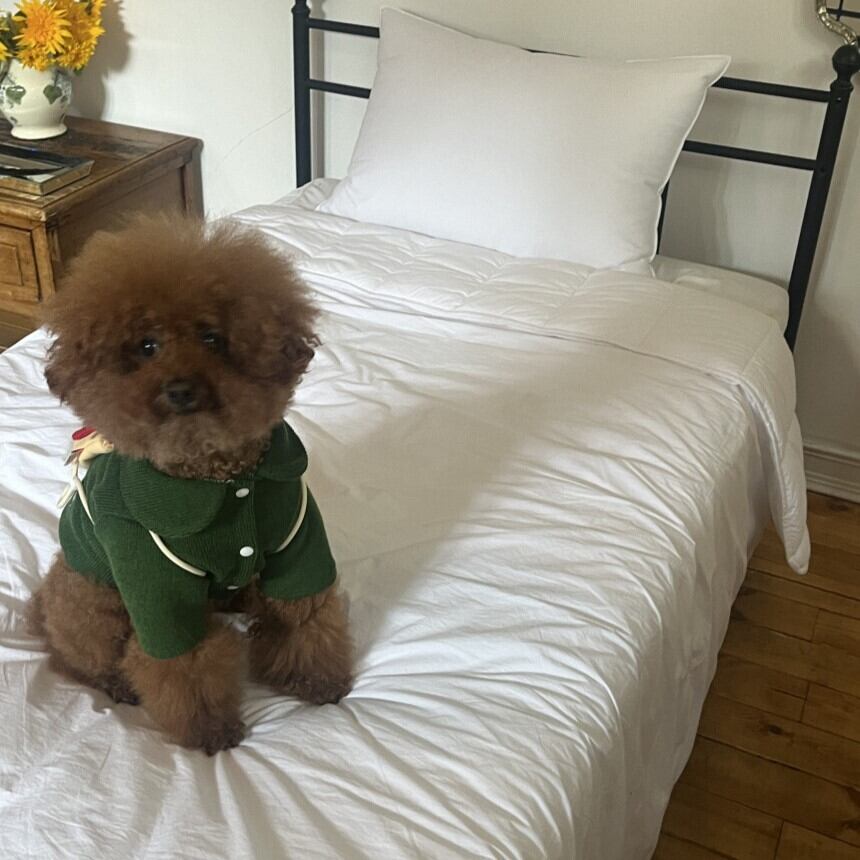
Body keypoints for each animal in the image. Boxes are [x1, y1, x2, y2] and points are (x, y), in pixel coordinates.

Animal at [28, 215, 353, 754]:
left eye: (211, 338)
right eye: (147, 346)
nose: (180, 389)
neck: (220, 474)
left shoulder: (297, 541)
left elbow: (305, 615)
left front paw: (318, 680)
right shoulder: (156, 586)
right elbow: (185, 662)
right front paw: (211, 731)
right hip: (89, 597)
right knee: (79, 655)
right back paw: (115, 682)